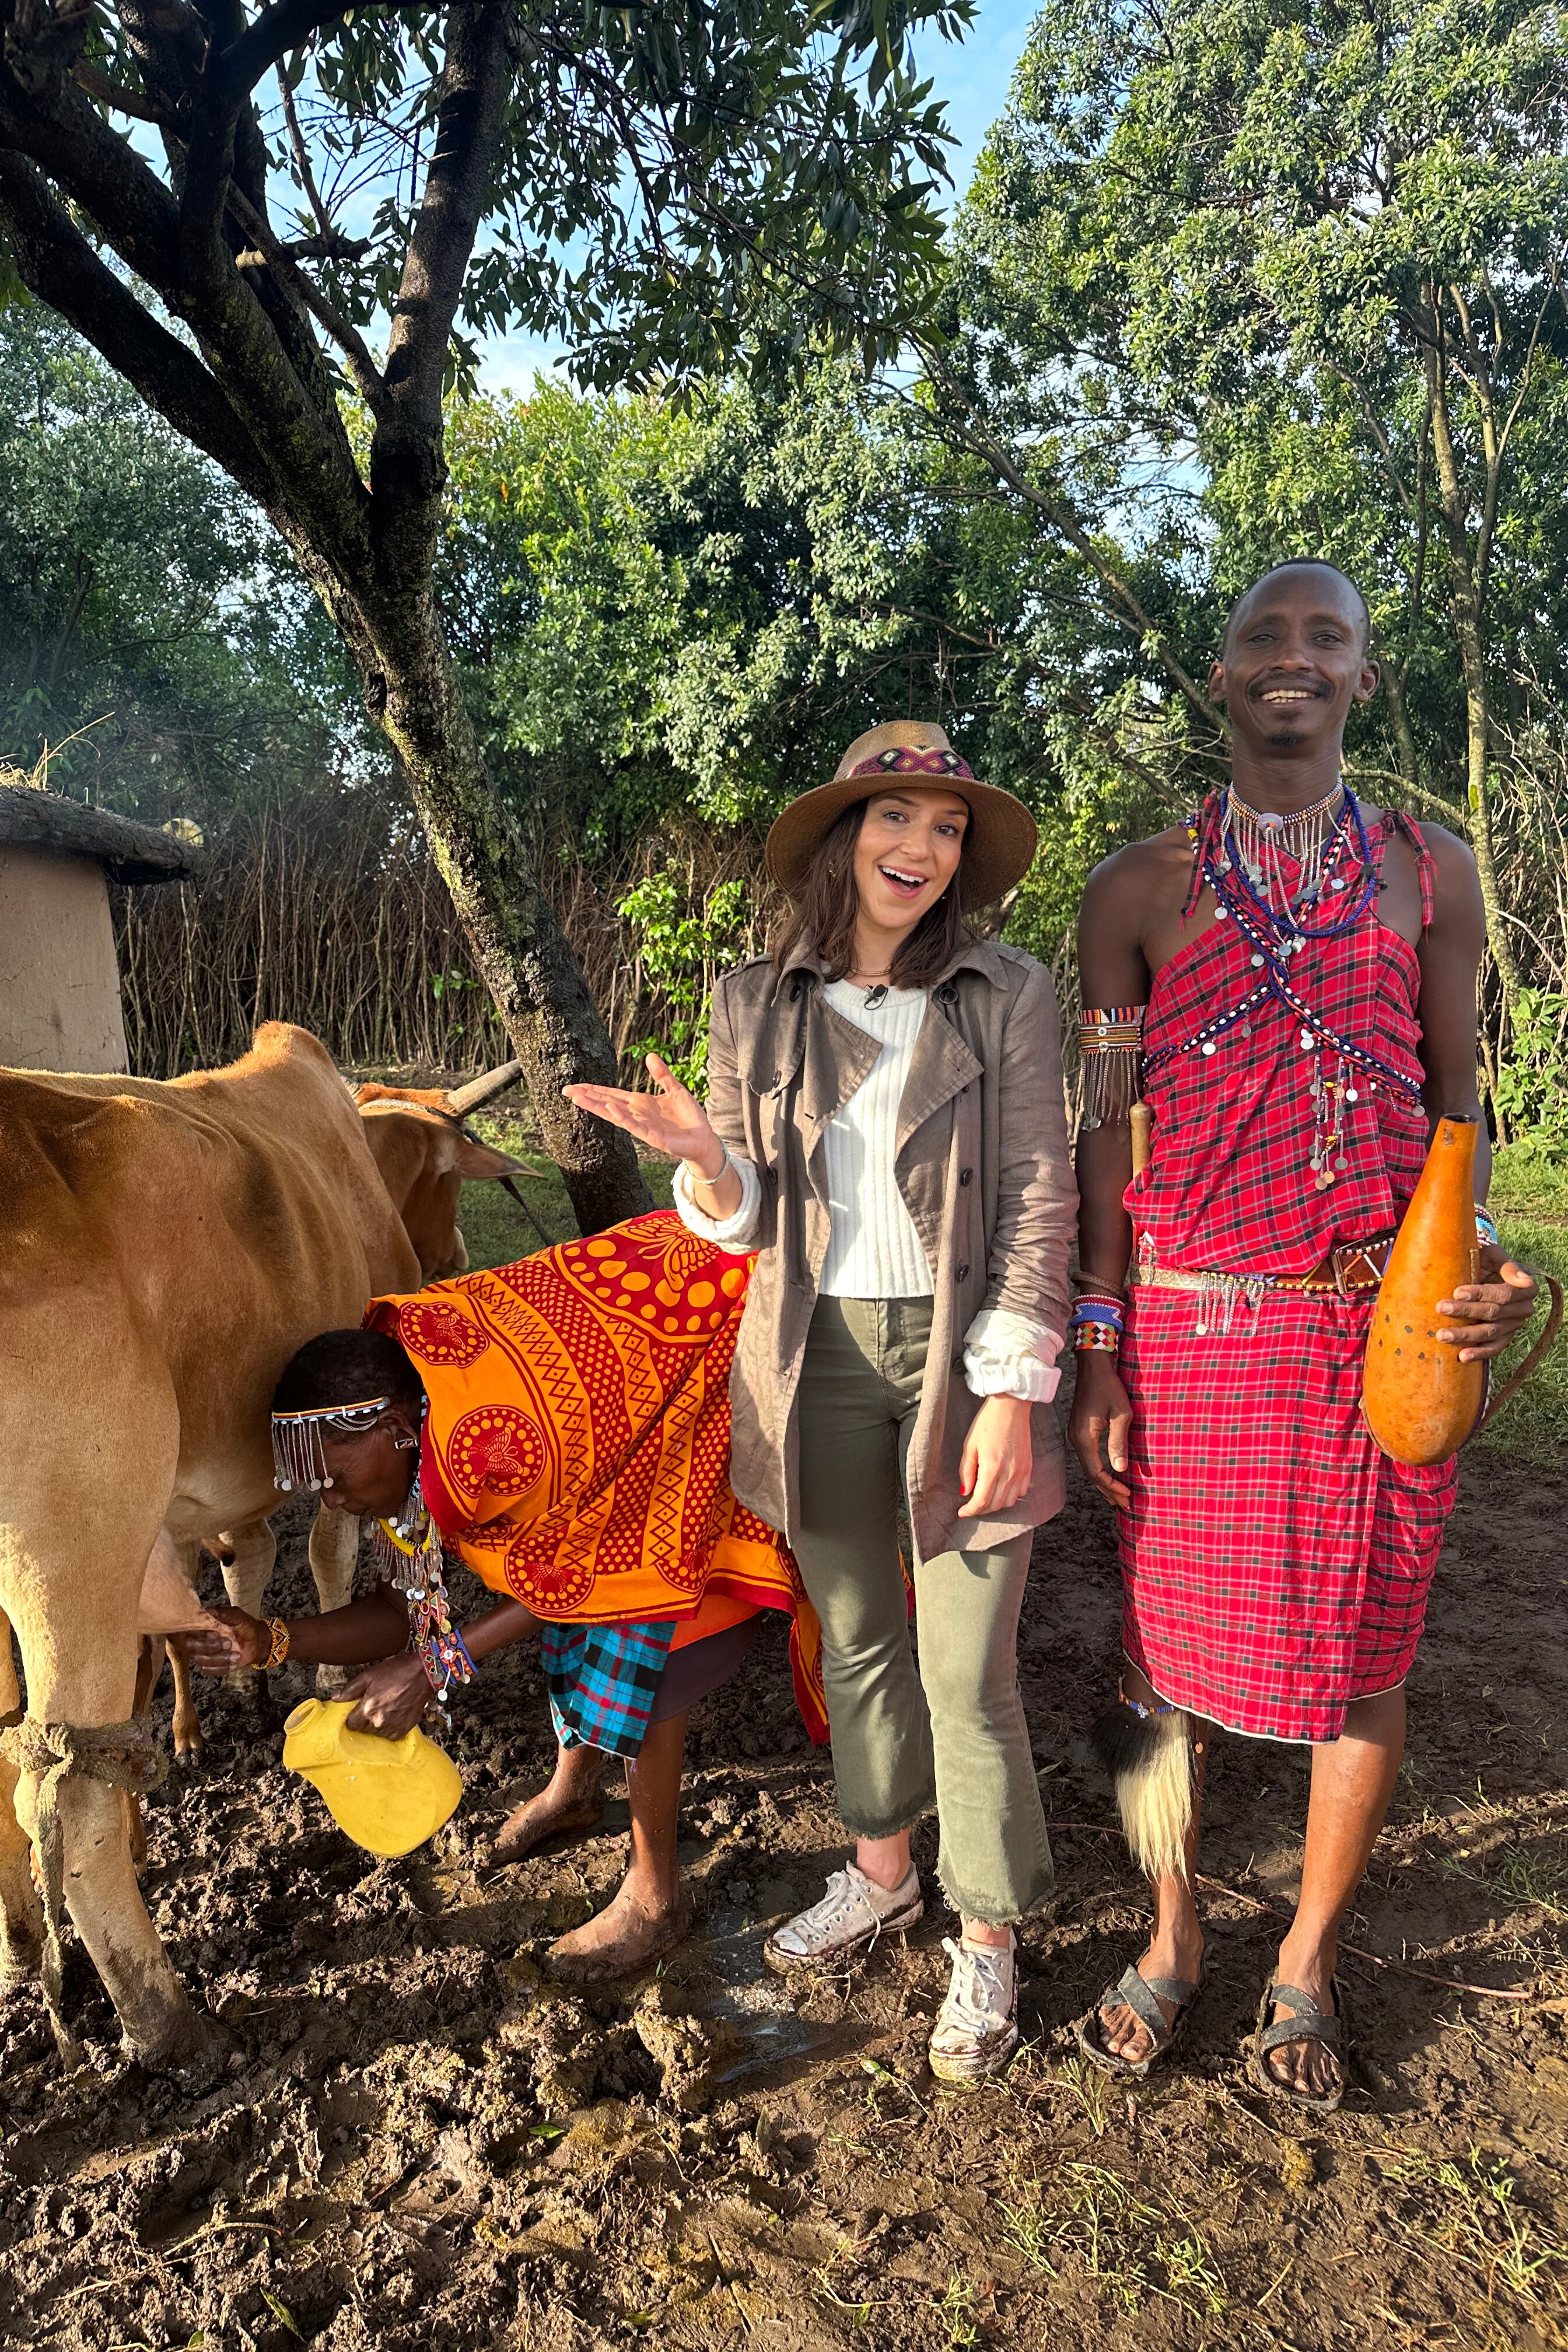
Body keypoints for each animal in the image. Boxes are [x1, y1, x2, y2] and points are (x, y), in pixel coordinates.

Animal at [0, 1020, 526, 2070]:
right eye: (450, 1180)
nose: (448, 1251)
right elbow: (329, 1557)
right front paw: (328, 1681)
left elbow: (240, 1571)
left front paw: (246, 1683)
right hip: (74, 1547)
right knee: (64, 1796)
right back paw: (165, 2022)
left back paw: (21, 1955)